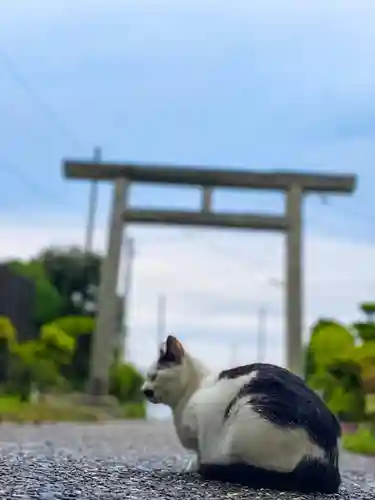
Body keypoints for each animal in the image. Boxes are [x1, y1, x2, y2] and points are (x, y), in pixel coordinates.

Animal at [142, 334, 342, 494]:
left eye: (153, 376)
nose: (143, 390)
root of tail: (326, 461)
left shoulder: (201, 419)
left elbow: (199, 451)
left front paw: (193, 465)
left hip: (243, 424)